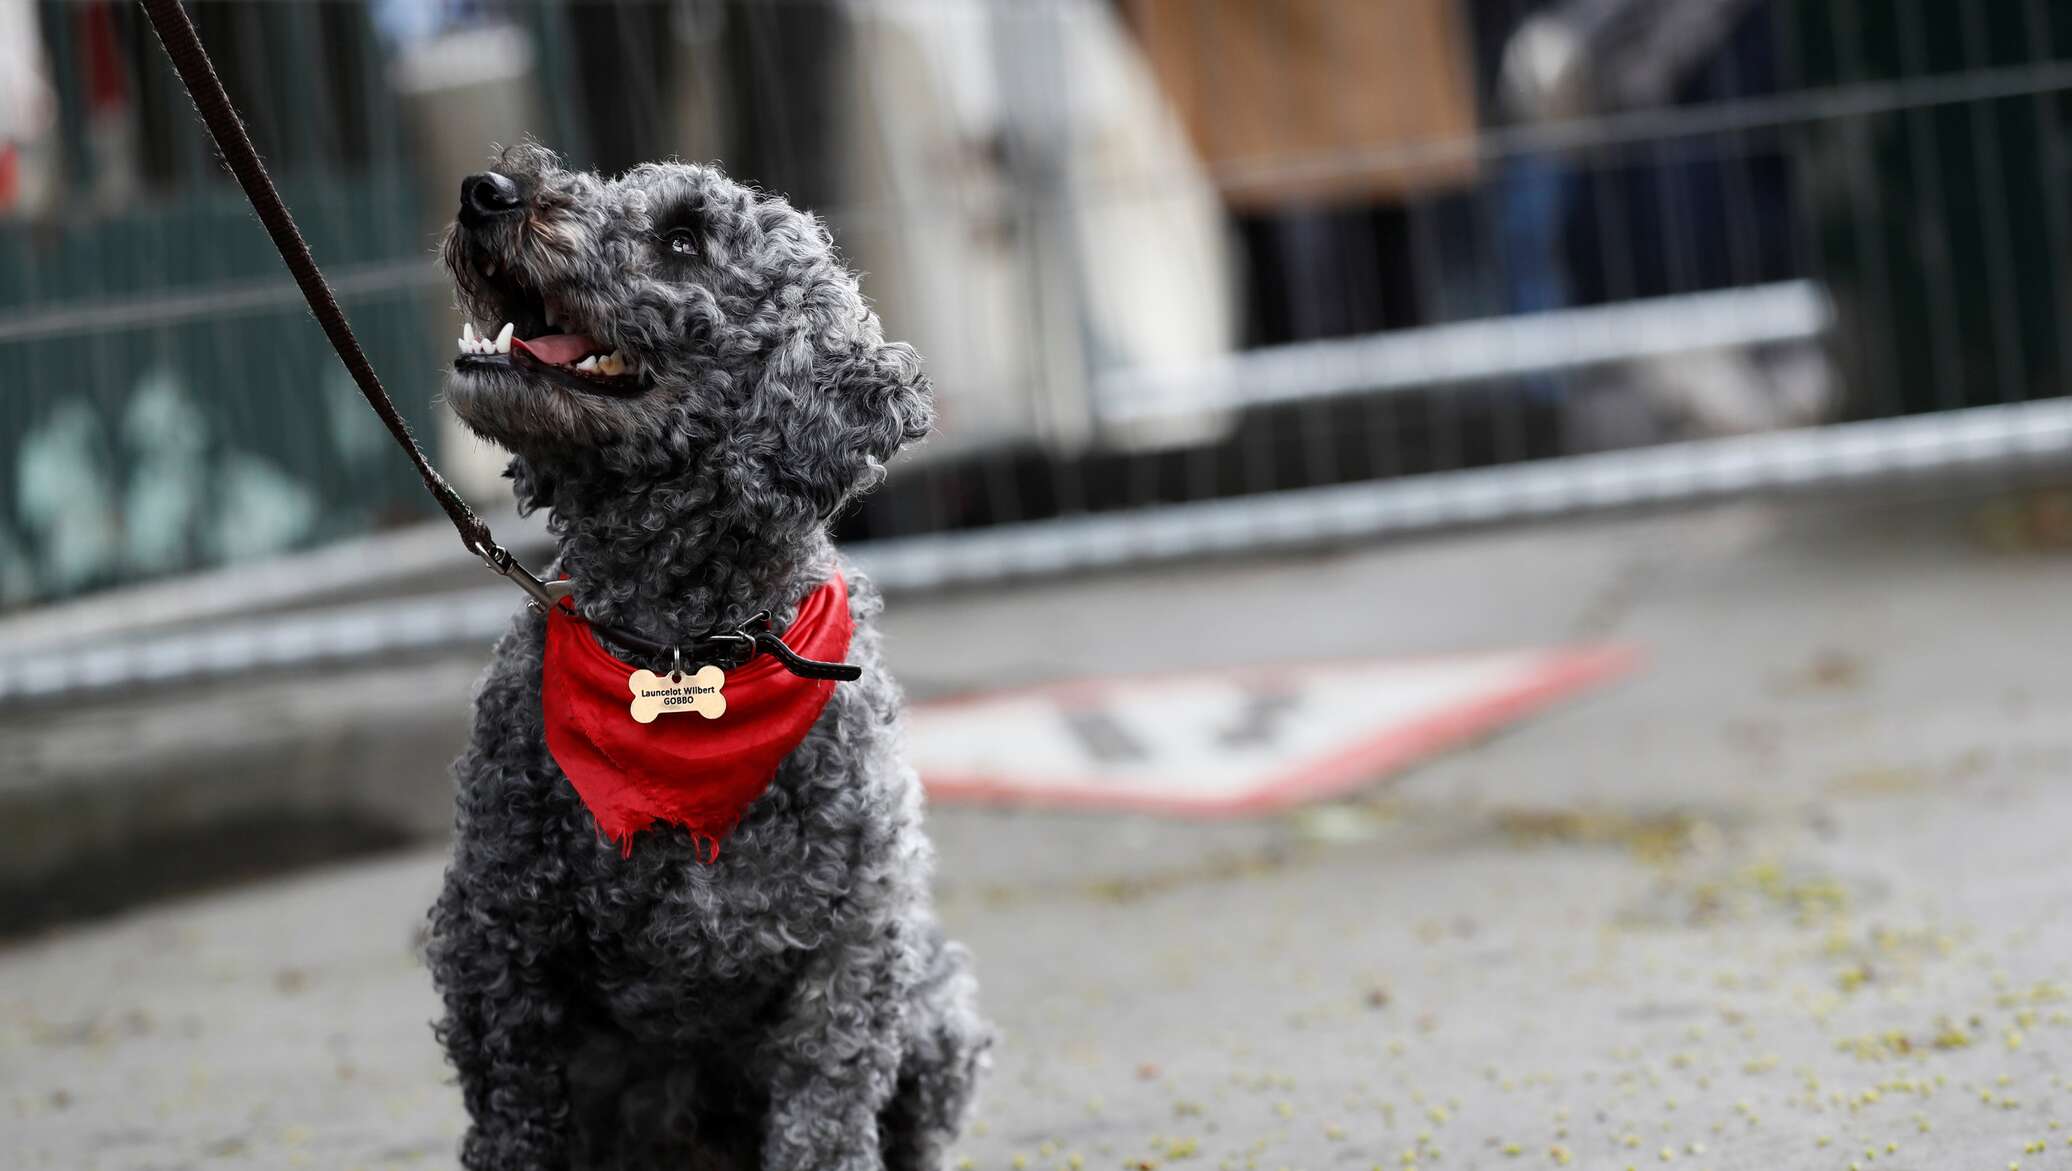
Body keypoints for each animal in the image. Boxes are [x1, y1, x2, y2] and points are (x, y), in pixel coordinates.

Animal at [424, 144, 990, 1168]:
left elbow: (824, 1125)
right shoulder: (497, 945)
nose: (488, 191)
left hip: (937, 1015)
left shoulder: (849, 960)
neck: (687, 646)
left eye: (684, 238)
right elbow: (515, 1126)